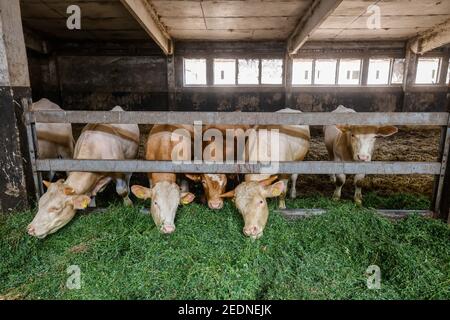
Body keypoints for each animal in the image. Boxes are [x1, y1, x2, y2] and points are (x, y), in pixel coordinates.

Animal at [27, 105, 140, 238]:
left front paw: (128, 205)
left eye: (56, 208)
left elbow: (121, 191)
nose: (30, 228)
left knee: (128, 177)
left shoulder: (118, 171)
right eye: (40, 203)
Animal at [221, 108, 312, 238]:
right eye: (238, 208)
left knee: (295, 177)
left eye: (261, 201)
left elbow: (282, 192)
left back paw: (293, 193)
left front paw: (282, 206)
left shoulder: (285, 173)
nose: (250, 230)